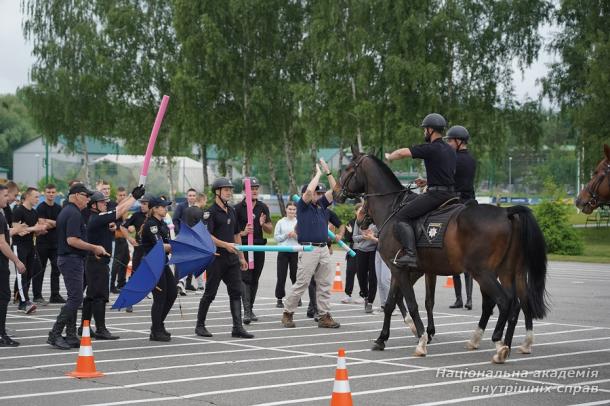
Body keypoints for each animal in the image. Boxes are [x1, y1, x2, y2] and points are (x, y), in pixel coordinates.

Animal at [334, 147, 548, 364]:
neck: (392, 209)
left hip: (483, 273)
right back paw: (507, 344)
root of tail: (507, 213)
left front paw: (421, 340)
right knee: (516, 304)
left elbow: (411, 303)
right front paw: (382, 339)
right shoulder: (405, 270)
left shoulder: (400, 270)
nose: (335, 192)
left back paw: (498, 344)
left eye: (349, 169)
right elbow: (393, 303)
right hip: (508, 272)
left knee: (503, 302)